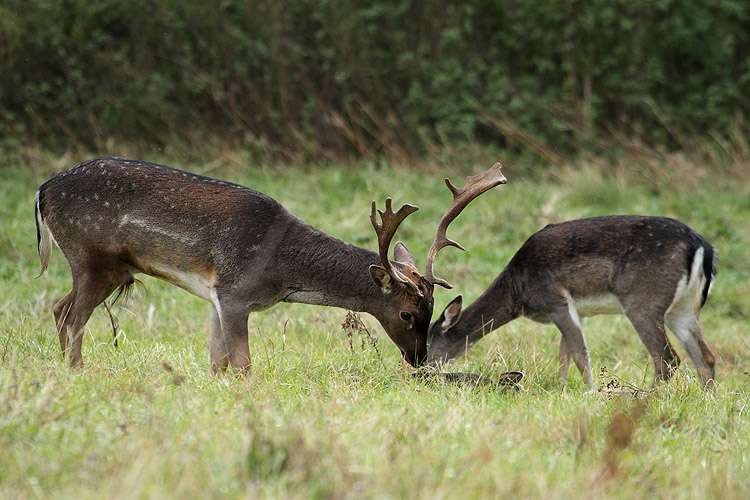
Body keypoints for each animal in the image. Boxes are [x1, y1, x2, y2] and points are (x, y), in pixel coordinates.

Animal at [33, 156, 506, 372]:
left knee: (58, 308)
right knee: (72, 319)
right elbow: (242, 365)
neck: (280, 267)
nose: (420, 359)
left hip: (105, 268)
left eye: (432, 311)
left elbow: (218, 363)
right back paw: (79, 373)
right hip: (93, 257)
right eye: (408, 314)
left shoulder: (216, 295)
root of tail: (42, 191)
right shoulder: (235, 291)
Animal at [426, 216, 720, 386]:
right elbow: (564, 355)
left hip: (643, 300)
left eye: (427, 340)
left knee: (667, 358)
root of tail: (703, 247)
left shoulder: (554, 300)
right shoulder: (581, 312)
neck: (518, 289)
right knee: (705, 356)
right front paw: (563, 389)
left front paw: (589, 392)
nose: (422, 368)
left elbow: (579, 355)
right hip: (683, 307)